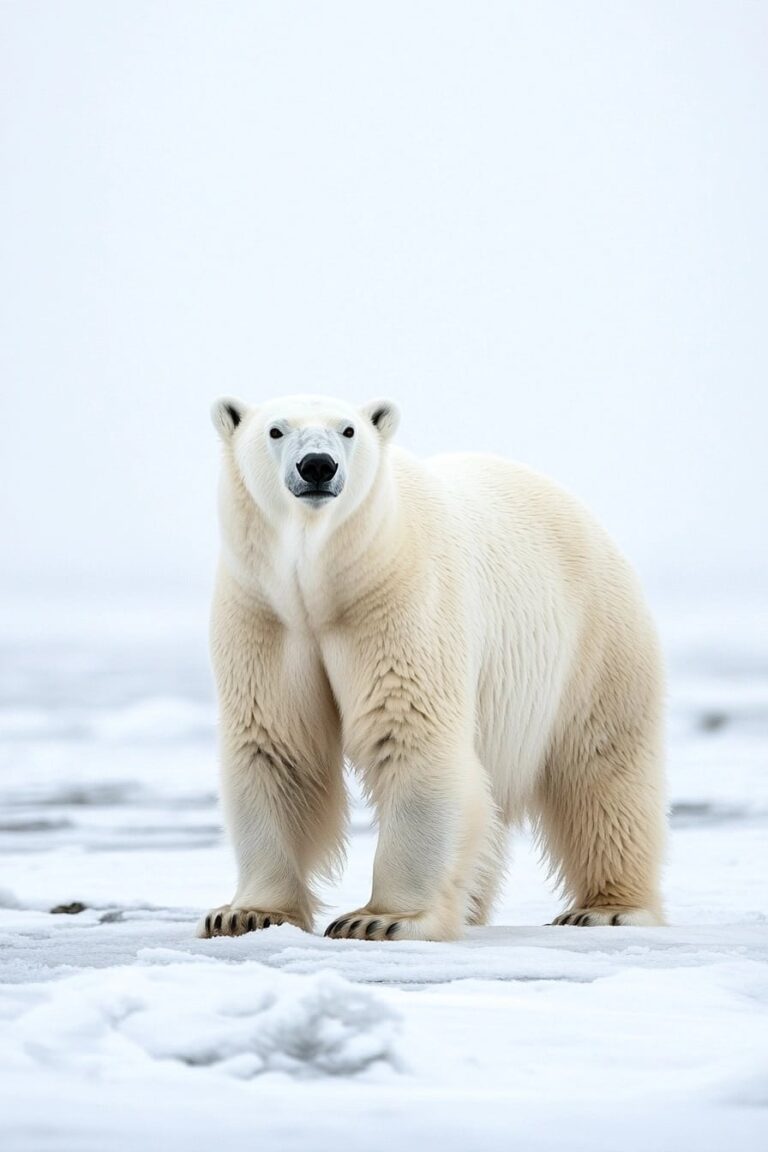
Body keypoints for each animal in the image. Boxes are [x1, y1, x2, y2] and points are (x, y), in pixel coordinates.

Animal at [199, 394, 666, 941]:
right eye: (276, 430)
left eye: (348, 430)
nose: (317, 465)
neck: (324, 581)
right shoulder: (266, 615)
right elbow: (275, 746)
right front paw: (244, 913)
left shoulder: (399, 599)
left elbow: (409, 733)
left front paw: (380, 919)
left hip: (593, 644)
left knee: (602, 768)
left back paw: (606, 908)